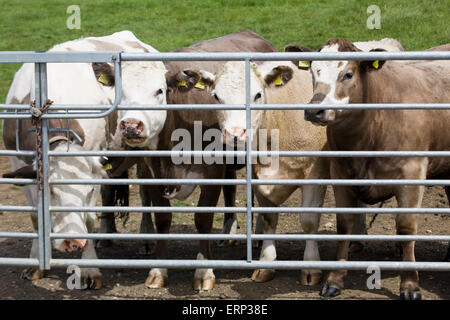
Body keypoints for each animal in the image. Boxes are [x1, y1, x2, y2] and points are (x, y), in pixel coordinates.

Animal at [2, 31, 169, 288]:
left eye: (88, 191)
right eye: (51, 192)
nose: (73, 243)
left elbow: (89, 219)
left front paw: (90, 269)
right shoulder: (19, 164)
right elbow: (34, 216)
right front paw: (35, 264)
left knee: (145, 193)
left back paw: (147, 237)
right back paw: (107, 233)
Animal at [174, 38, 402, 286]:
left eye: (257, 95)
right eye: (216, 96)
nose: (235, 134)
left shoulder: (315, 173)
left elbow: (309, 220)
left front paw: (311, 268)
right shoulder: (257, 174)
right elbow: (269, 217)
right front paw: (266, 263)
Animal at [290, 38, 450, 300]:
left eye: (348, 74)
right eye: (314, 71)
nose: (314, 110)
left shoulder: (412, 173)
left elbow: (406, 227)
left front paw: (410, 285)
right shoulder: (340, 174)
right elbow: (344, 225)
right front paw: (335, 280)